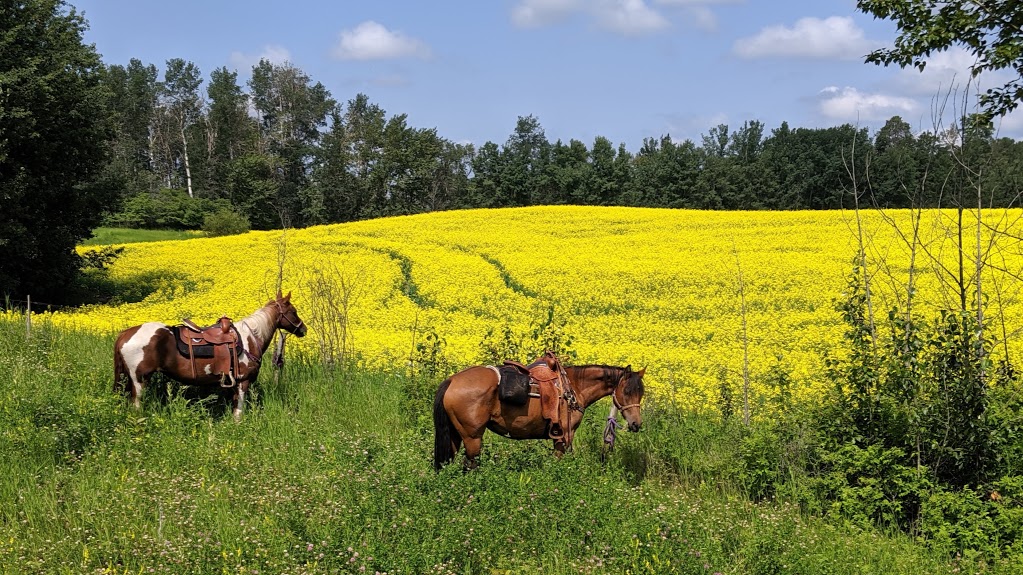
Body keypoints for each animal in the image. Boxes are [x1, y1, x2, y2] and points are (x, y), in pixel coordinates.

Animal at [112, 290, 304, 415]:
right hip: (139, 380)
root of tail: (125, 333)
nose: (304, 329)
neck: (250, 337)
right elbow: (239, 410)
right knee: (136, 405)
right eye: (293, 312)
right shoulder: (243, 381)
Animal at [433, 360, 646, 468]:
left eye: (641, 393)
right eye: (627, 391)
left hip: (455, 435)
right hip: (472, 437)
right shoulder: (565, 436)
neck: (574, 387)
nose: (636, 424)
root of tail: (452, 380)